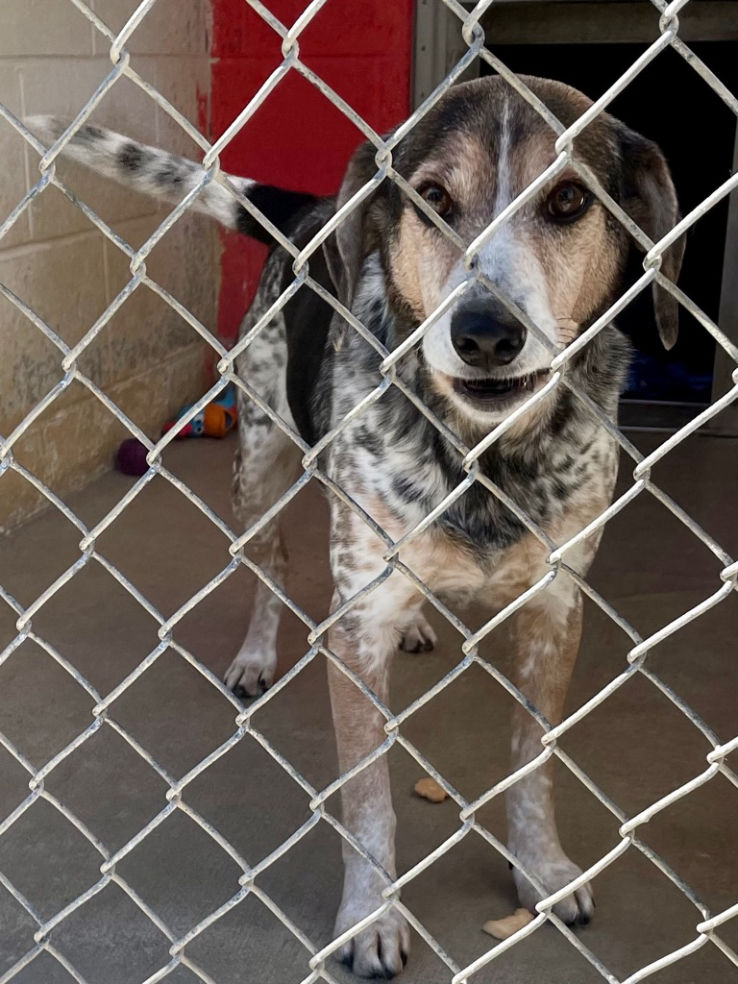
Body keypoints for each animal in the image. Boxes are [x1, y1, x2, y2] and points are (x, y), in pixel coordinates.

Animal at [30, 77, 684, 976]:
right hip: (259, 471)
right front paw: (370, 916)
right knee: (270, 568)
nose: (485, 334)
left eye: (569, 200)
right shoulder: (356, 626)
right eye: (432, 198)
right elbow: (370, 797)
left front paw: (543, 869)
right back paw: (256, 656)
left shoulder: (557, 612)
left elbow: (532, 764)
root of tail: (310, 212)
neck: (486, 458)